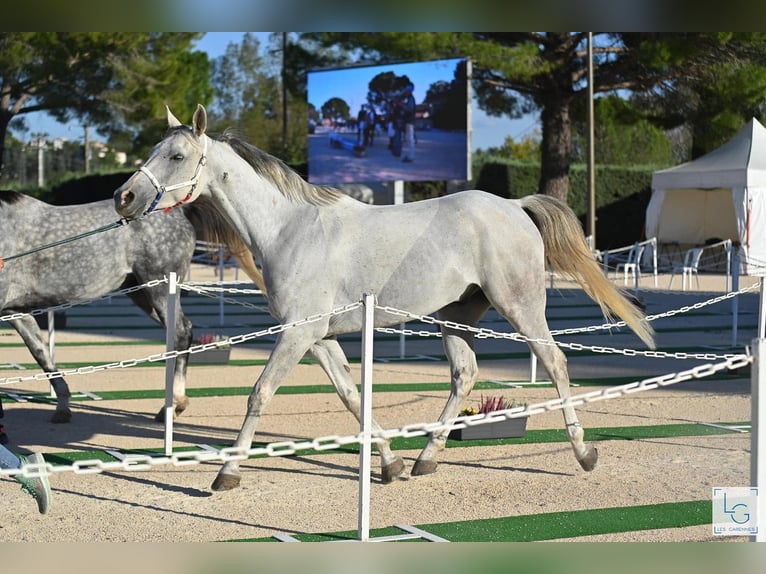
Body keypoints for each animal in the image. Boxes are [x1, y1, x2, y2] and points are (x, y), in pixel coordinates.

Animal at [0, 189, 264, 424]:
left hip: (159, 288)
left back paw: (172, 407)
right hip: (142, 294)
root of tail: (181, 211)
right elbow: (41, 354)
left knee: (181, 332)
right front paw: (63, 407)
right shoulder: (16, 312)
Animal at [114, 105, 655, 492]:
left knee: (556, 363)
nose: (125, 197)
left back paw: (584, 454)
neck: (290, 229)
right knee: (465, 376)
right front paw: (390, 464)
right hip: (457, 317)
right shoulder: (318, 339)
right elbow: (353, 397)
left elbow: (259, 394)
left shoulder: (296, 336)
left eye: (177, 156)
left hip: (520, 307)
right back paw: (425, 460)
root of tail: (515, 206)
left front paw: (227, 474)